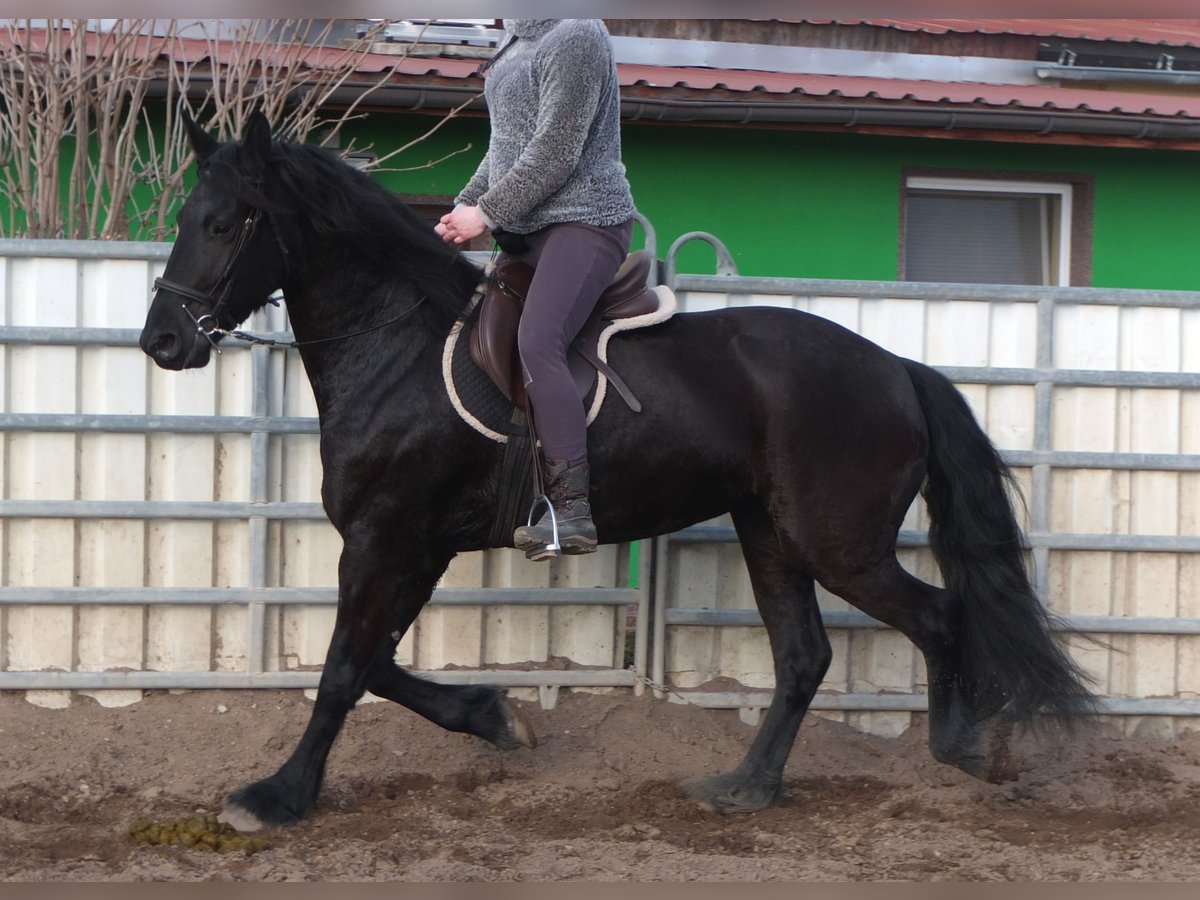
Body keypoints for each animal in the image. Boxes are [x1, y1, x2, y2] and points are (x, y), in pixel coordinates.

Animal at [140, 111, 1099, 830]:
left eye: (223, 224)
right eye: (185, 220)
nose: (163, 342)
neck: (400, 346)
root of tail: (897, 367)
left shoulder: (386, 536)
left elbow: (345, 669)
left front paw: (279, 796)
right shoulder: (417, 543)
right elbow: (375, 663)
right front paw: (497, 719)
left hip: (838, 544)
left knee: (936, 616)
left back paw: (960, 749)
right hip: (771, 532)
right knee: (804, 656)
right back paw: (746, 787)